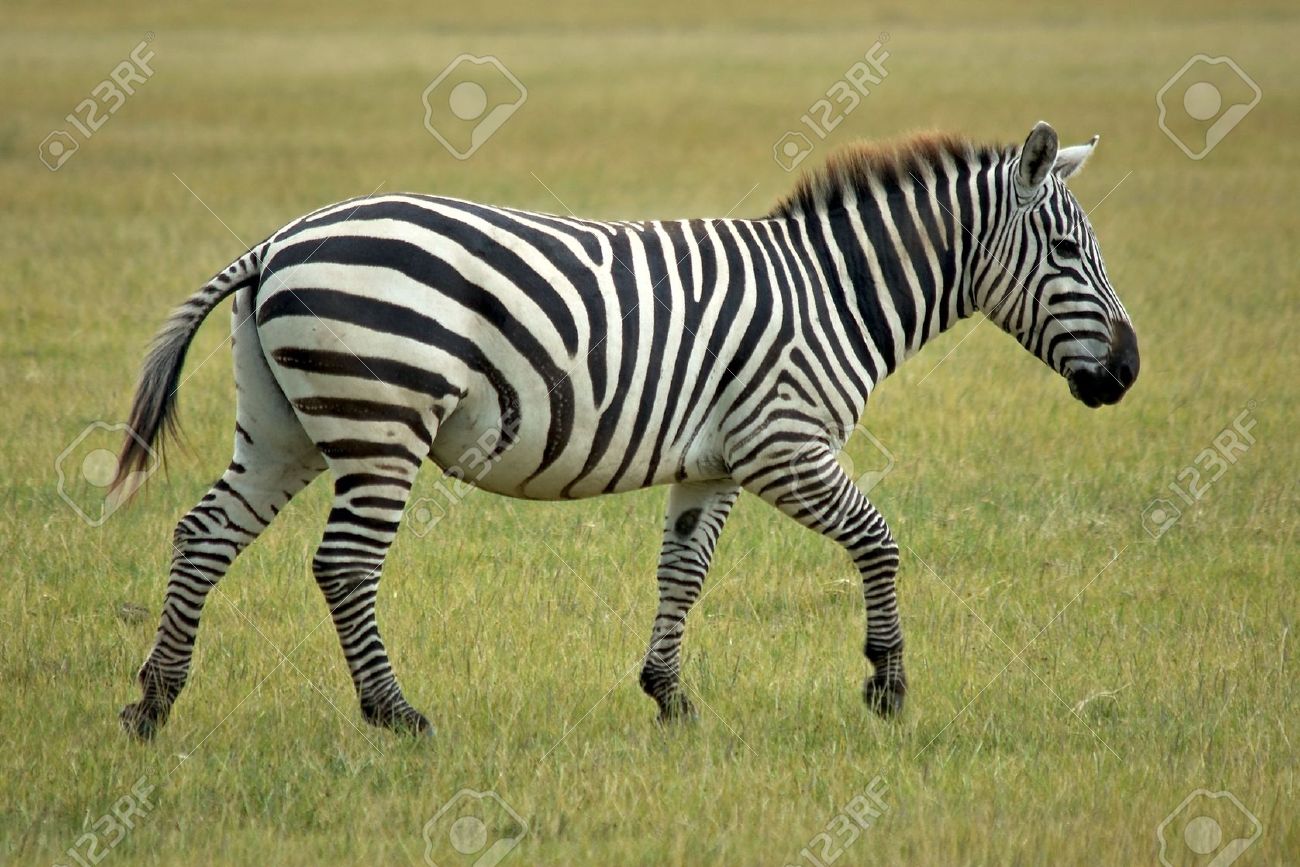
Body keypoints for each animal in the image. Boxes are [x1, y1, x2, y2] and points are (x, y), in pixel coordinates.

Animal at [112, 121, 1139, 739]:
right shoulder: (783, 442)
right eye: (1066, 250)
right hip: (382, 420)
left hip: (285, 425)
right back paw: (395, 714)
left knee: (203, 533)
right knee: (345, 565)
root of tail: (280, 239)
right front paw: (886, 686)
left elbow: (683, 571)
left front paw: (670, 697)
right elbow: (880, 541)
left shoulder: (713, 462)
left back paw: (152, 703)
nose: (1129, 372)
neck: (833, 293)